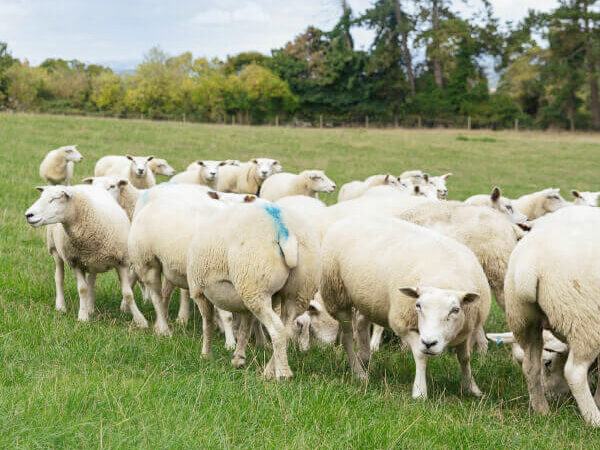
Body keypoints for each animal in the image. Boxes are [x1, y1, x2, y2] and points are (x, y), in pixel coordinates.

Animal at [24, 185, 149, 328]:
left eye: (54, 199)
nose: (28, 215)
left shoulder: (122, 262)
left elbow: (128, 294)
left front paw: (140, 320)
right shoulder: (75, 262)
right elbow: (82, 289)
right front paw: (83, 316)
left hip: (92, 261)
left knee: (91, 281)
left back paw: (90, 307)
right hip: (55, 250)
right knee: (59, 277)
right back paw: (61, 306)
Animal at [188, 202, 322, 378]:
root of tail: (283, 227)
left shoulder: (198, 292)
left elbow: (208, 324)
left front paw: (205, 355)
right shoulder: (245, 303)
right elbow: (245, 328)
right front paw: (238, 359)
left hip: (255, 285)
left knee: (277, 329)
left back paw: (282, 373)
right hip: (297, 290)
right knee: (286, 330)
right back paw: (271, 370)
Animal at [322, 214, 490, 398]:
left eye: (455, 310)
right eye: (418, 306)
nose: (430, 342)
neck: (443, 277)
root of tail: (355, 216)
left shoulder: (467, 328)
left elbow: (465, 357)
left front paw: (472, 387)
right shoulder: (403, 324)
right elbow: (421, 355)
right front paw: (420, 392)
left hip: (367, 297)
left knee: (361, 323)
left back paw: (364, 359)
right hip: (336, 294)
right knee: (347, 338)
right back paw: (358, 372)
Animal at [504, 207, 600, 426]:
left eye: (549, 363)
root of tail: (530, 261)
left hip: (523, 318)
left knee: (530, 365)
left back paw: (542, 410)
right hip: (586, 319)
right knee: (574, 371)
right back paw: (594, 419)